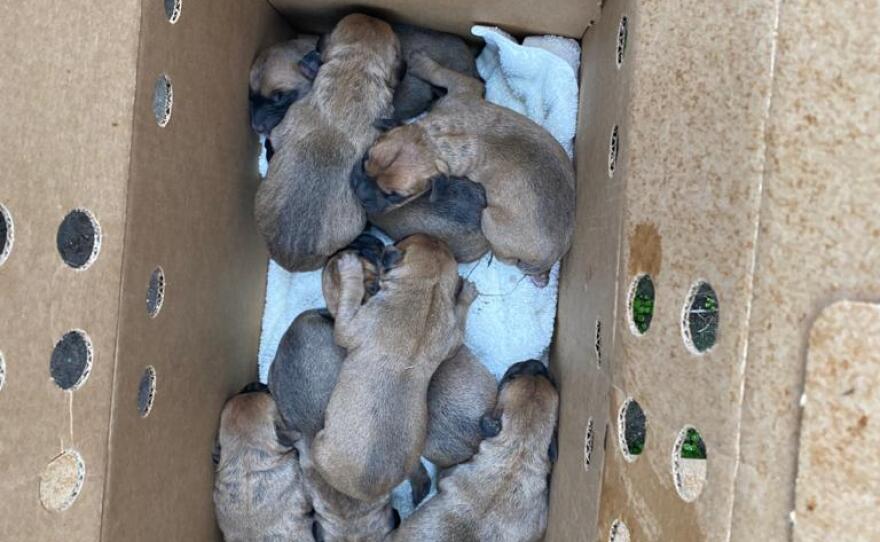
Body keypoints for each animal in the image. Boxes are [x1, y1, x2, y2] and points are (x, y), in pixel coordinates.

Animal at [310, 236, 474, 504]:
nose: (378, 241)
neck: (429, 288)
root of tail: (374, 491)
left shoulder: (348, 326)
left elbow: (349, 302)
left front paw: (350, 270)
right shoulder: (451, 337)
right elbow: (458, 326)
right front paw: (465, 294)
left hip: (319, 444)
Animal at [352, 53, 576, 286]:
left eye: (395, 196)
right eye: (366, 158)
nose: (359, 191)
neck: (433, 138)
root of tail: (551, 259)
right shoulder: (463, 87)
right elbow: (441, 72)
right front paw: (421, 62)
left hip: (489, 221)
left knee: (506, 258)